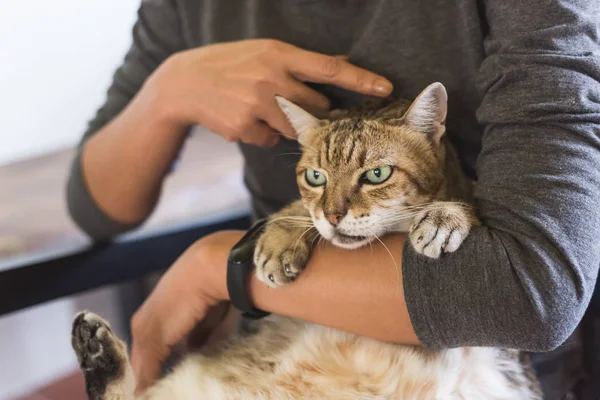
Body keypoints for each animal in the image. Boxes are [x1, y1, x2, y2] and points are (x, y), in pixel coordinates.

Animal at [72, 83, 540, 398]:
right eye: (316, 176)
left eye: (377, 174)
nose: (334, 215)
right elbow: (295, 208)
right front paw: (281, 238)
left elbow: (469, 204)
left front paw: (445, 215)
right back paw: (98, 354)